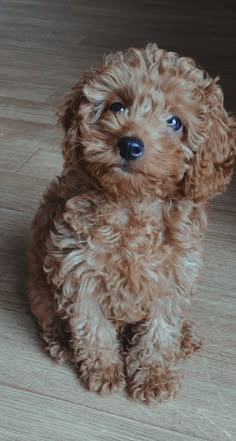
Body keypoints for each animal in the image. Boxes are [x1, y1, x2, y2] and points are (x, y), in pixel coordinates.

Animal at [28, 44, 235, 402]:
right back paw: (63, 344)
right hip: (39, 291)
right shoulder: (77, 269)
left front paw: (154, 376)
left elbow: (160, 331)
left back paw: (185, 336)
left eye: (175, 122)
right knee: (52, 317)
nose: (129, 144)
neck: (132, 203)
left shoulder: (174, 274)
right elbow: (91, 327)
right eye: (117, 106)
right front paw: (103, 370)